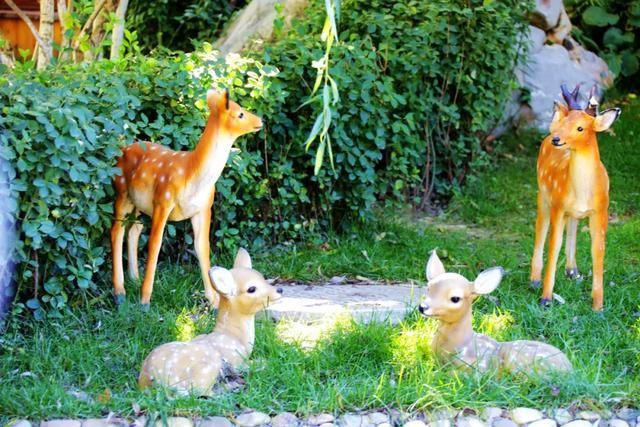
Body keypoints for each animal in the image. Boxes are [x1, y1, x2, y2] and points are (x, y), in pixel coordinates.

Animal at [110, 91, 262, 310]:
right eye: (240, 113)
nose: (260, 121)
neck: (192, 174)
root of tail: (122, 149)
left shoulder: (204, 208)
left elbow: (202, 247)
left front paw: (214, 302)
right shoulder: (163, 201)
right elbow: (155, 245)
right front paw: (145, 302)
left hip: (139, 204)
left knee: (134, 230)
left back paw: (134, 279)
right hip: (121, 192)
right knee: (117, 231)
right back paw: (120, 293)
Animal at [528, 84, 620, 310]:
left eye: (580, 128)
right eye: (564, 123)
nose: (556, 139)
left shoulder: (601, 211)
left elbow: (598, 249)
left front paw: (598, 306)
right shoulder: (558, 207)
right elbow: (553, 246)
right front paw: (545, 298)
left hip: (570, 210)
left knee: (573, 226)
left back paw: (572, 271)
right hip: (543, 195)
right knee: (540, 231)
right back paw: (534, 280)